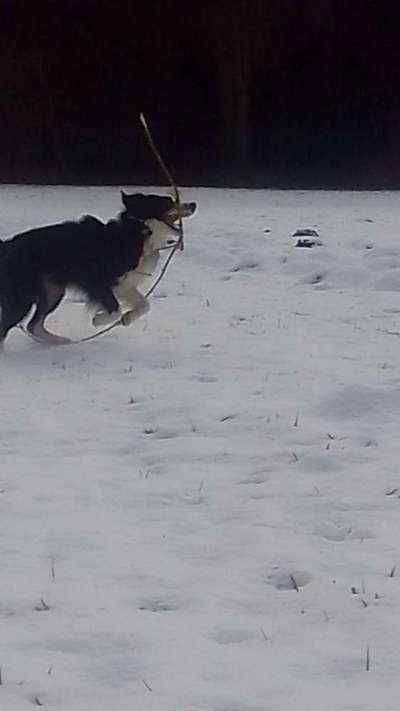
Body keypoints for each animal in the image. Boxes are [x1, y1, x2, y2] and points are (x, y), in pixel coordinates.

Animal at [0, 191, 197, 344]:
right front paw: (98, 320)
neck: (139, 232)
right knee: (8, 327)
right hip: (22, 296)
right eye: (169, 202)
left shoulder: (122, 284)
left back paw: (58, 341)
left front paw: (127, 319)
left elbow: (144, 304)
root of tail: (7, 246)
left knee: (33, 325)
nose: (194, 204)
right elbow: (115, 309)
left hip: (52, 291)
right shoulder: (96, 281)